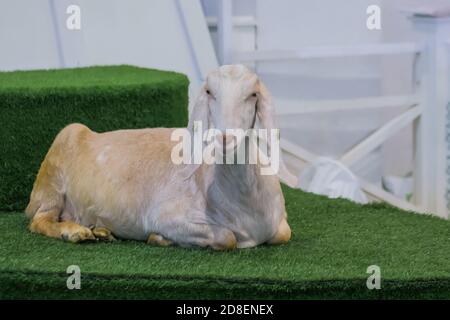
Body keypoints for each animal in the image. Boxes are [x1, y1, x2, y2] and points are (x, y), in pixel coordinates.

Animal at [26, 64, 298, 250]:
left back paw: (100, 231)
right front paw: (158, 238)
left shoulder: (279, 224)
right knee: (39, 220)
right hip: (52, 181)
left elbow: (284, 234)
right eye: (209, 91)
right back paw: (75, 232)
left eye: (253, 94)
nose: (225, 138)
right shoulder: (166, 216)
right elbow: (227, 237)